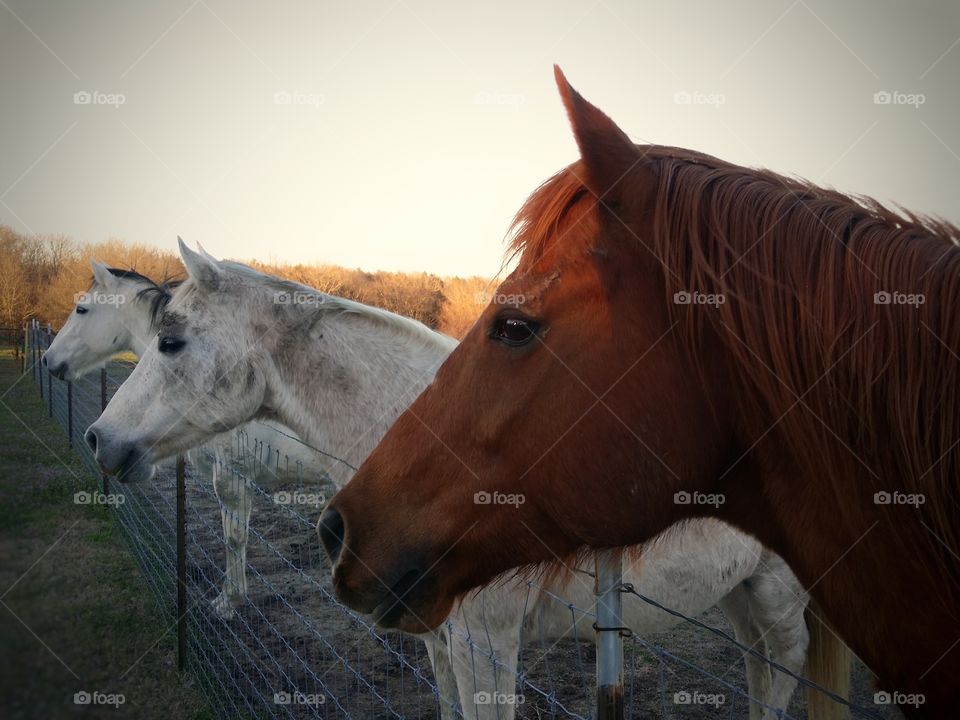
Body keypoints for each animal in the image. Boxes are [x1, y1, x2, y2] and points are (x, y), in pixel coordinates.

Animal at [84, 243, 848, 720]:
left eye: (172, 341)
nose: (99, 440)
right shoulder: (439, 636)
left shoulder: (489, 643)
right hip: (740, 596)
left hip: (779, 601)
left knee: (780, 676)